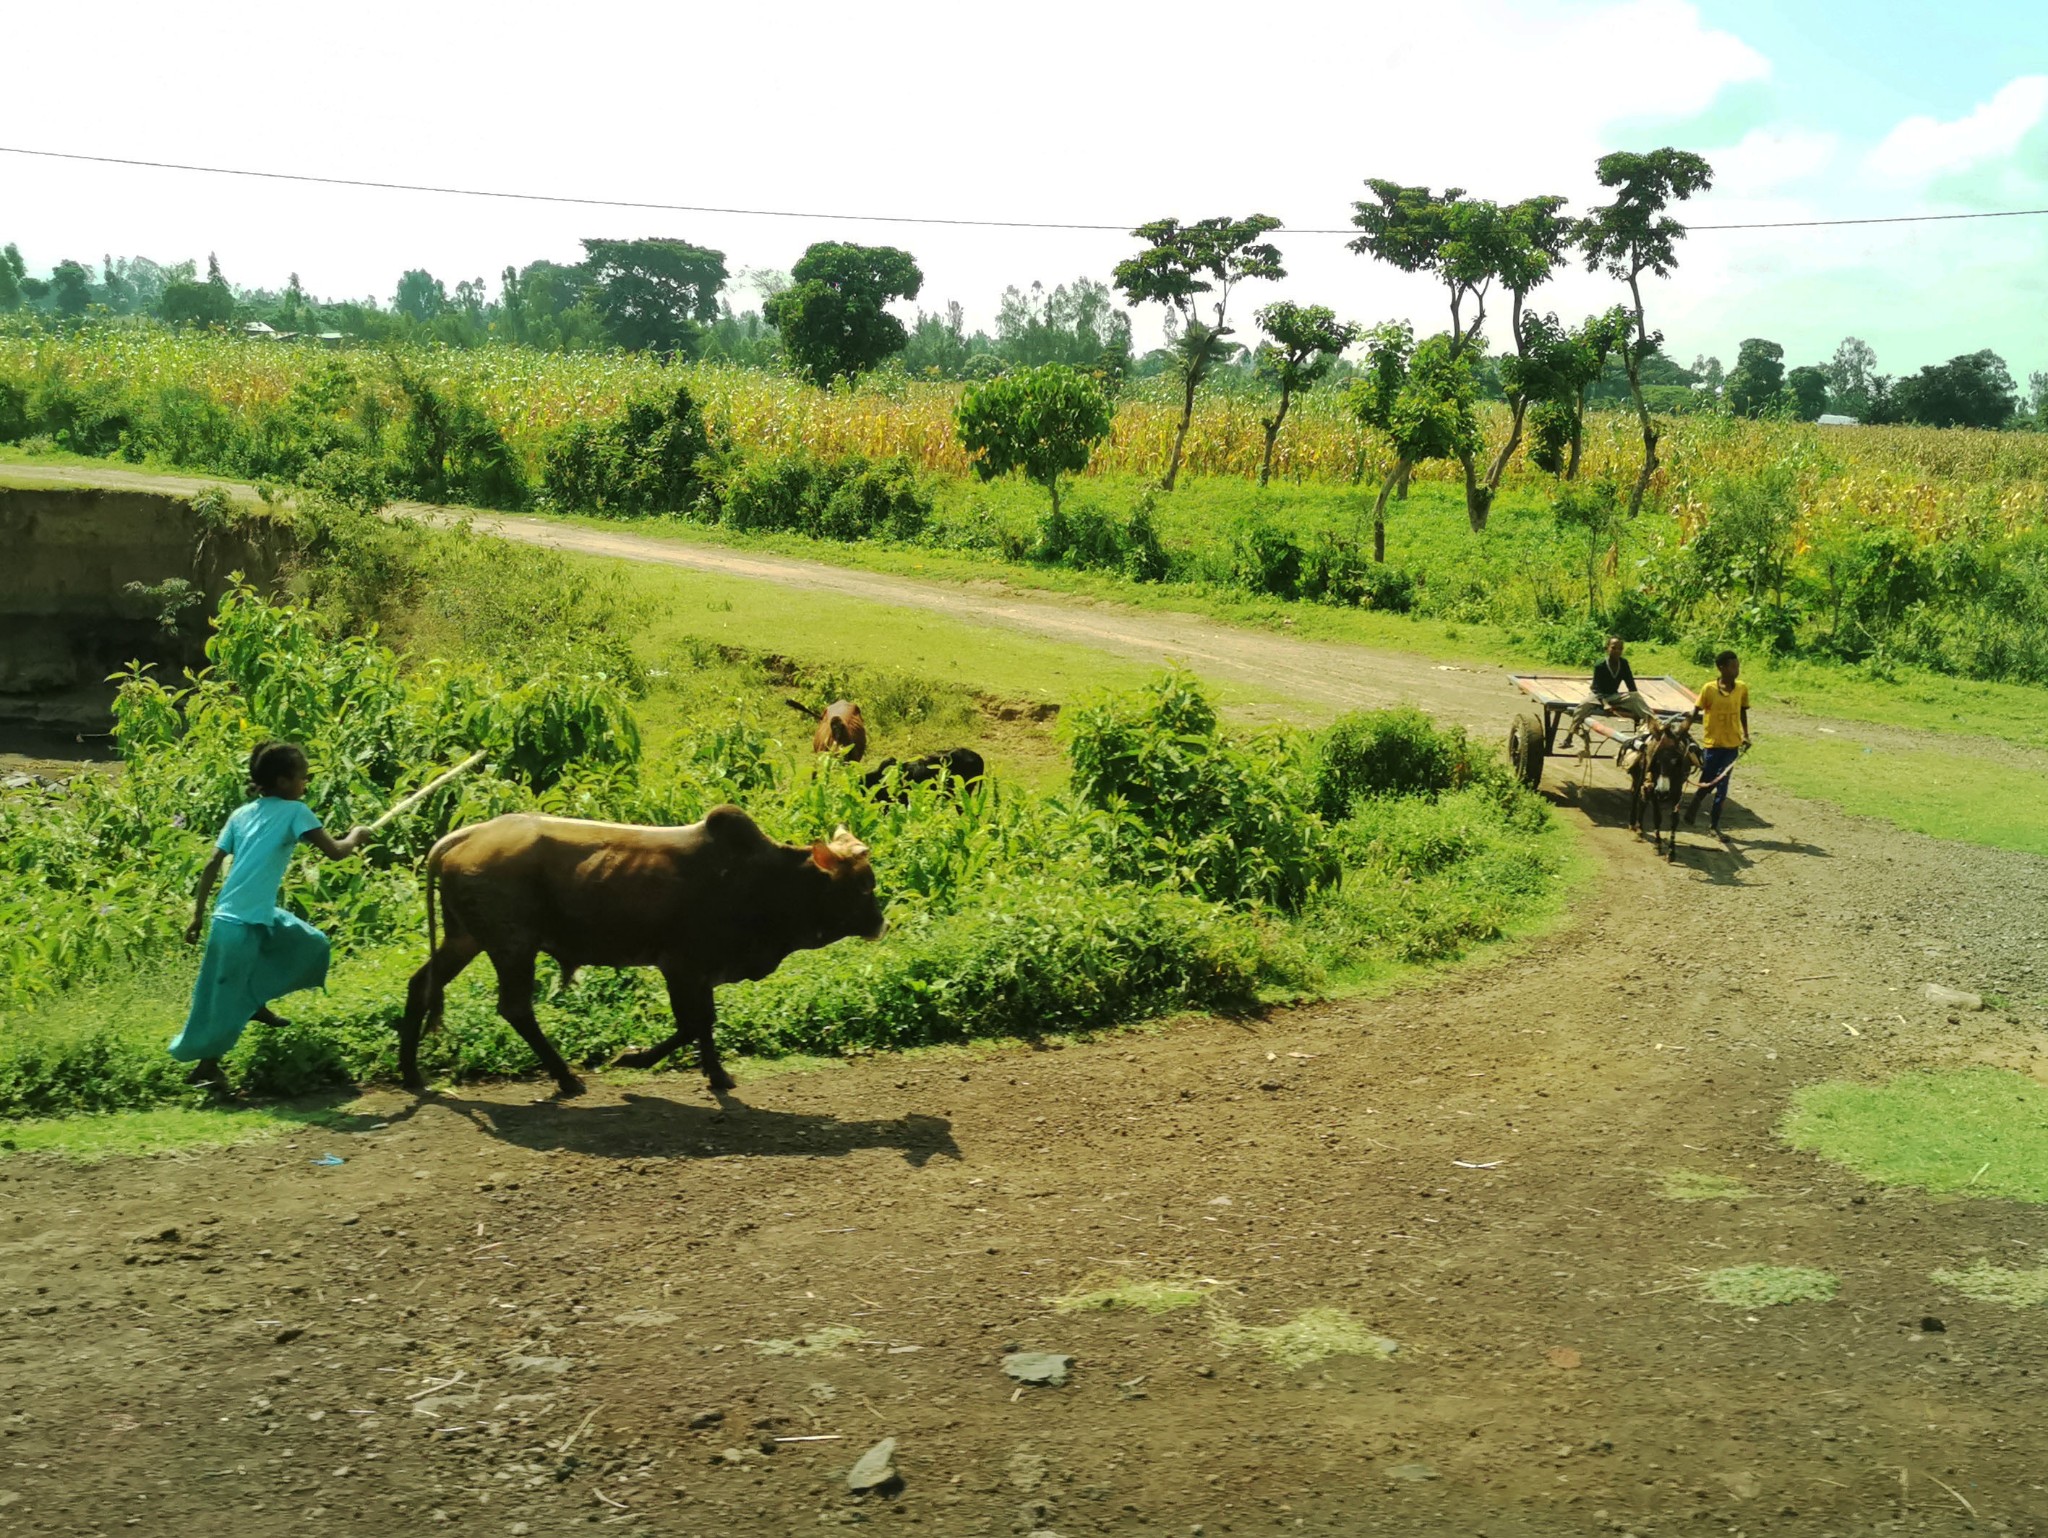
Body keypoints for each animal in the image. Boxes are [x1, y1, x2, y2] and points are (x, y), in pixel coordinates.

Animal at [397, 810, 880, 1097]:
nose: (881, 923)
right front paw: (633, 1057)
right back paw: (566, 1078)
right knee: (516, 1007)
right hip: (513, 945)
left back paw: (411, 1073)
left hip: (467, 939)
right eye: (862, 886)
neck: (766, 881)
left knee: (421, 985)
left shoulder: (703, 970)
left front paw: (717, 1075)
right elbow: (693, 1024)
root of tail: (464, 837)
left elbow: (704, 1024)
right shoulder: (680, 966)